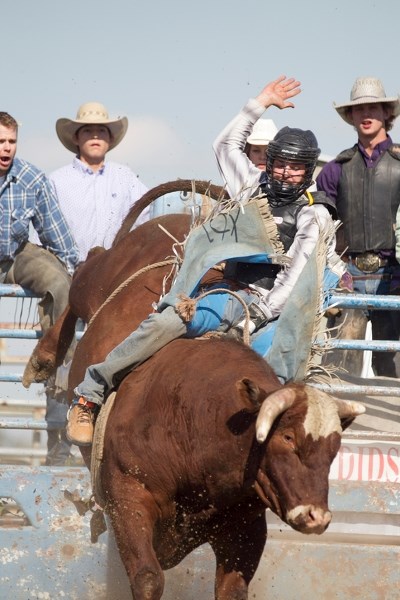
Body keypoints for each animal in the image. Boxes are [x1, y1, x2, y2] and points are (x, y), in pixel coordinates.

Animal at [101, 338, 364, 600]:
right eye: (288, 437)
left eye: (334, 447)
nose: (316, 518)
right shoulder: (128, 494)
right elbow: (148, 579)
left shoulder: (244, 528)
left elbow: (232, 589)